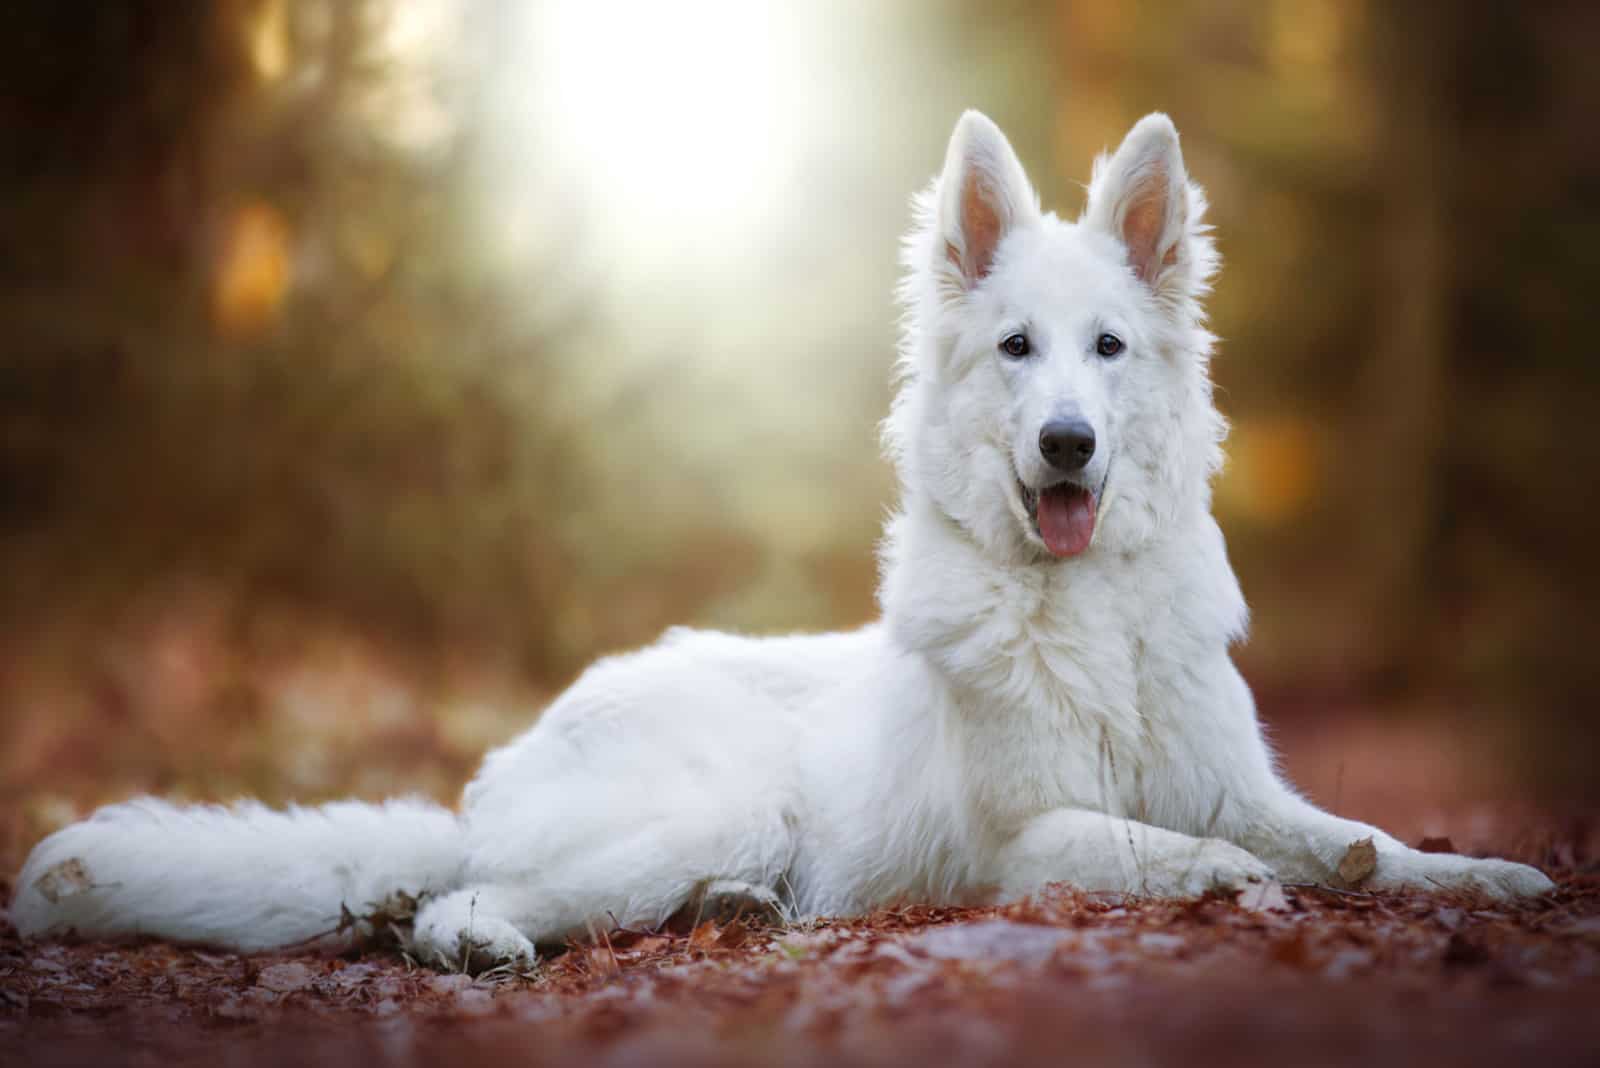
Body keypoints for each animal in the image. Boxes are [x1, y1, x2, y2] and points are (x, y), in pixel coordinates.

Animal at [9, 110, 1548, 965]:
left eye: (1107, 349)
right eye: (1016, 349)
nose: (1067, 443)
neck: (1088, 616)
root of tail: (499, 769)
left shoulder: (1238, 781)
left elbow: (1354, 836)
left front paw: (1480, 875)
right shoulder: (1007, 846)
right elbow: (1131, 842)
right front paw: (1219, 877)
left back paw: (734, 913)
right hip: (713, 803)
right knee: (453, 902)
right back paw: (491, 942)